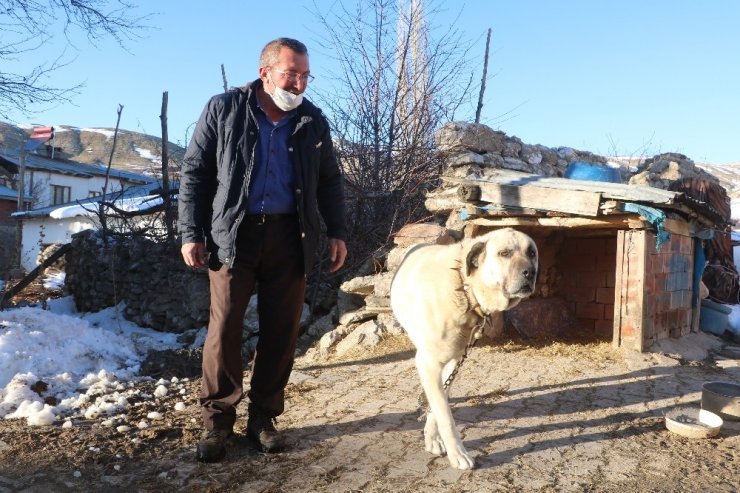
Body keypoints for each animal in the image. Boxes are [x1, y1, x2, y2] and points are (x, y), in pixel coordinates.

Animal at [388, 227, 536, 468]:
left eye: (531, 252)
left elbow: (439, 403)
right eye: (504, 253)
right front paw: (457, 453)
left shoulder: (455, 361)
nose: (530, 273)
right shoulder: (428, 363)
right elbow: (445, 416)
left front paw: (432, 438)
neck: (463, 287)